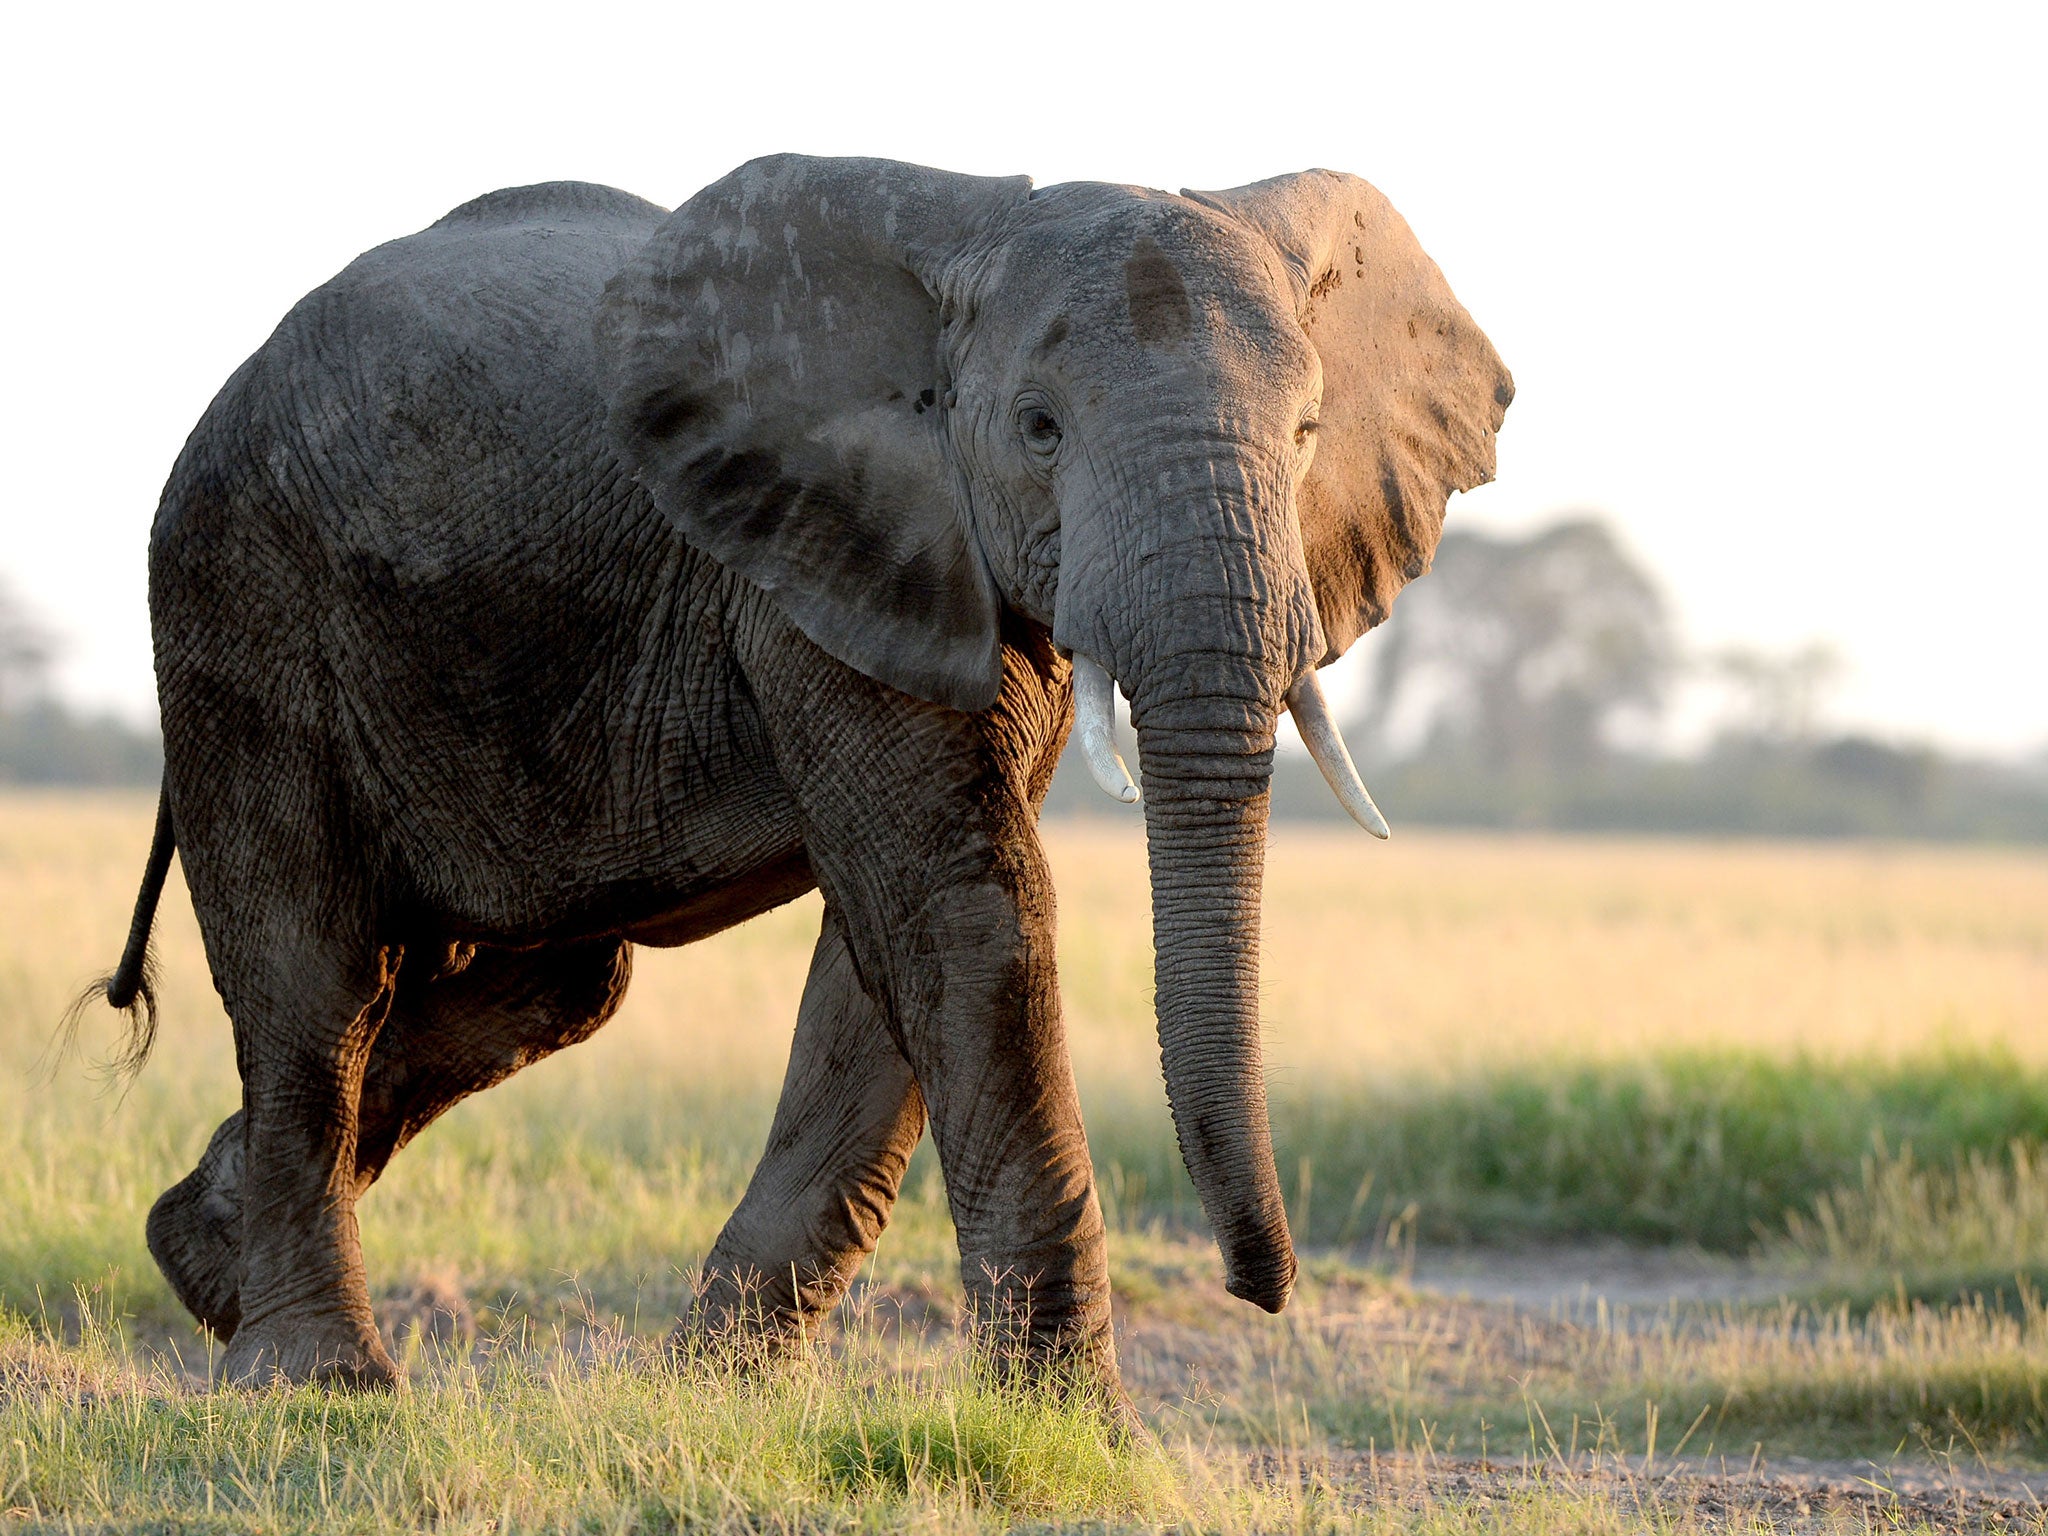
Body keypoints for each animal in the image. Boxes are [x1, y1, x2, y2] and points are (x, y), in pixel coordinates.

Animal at [92, 153, 1507, 1392]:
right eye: (1037, 429)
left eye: (1308, 430)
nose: (1258, 1290)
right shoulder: (821, 549)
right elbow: (964, 908)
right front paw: (1076, 1432)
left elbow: (886, 962)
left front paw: (706, 1396)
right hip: (242, 594)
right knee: (314, 976)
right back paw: (314, 1380)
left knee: (546, 986)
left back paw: (199, 1263)